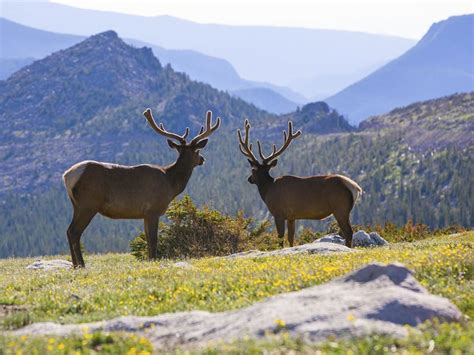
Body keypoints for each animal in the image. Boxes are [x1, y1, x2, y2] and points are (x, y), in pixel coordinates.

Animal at [61, 108, 222, 268]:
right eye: (197, 151)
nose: (202, 159)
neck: (171, 184)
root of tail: (67, 175)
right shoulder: (153, 210)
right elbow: (153, 239)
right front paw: (155, 260)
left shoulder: (144, 214)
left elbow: (148, 240)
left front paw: (150, 260)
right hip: (88, 204)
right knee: (75, 231)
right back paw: (81, 265)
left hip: (76, 205)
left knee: (68, 231)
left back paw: (74, 265)